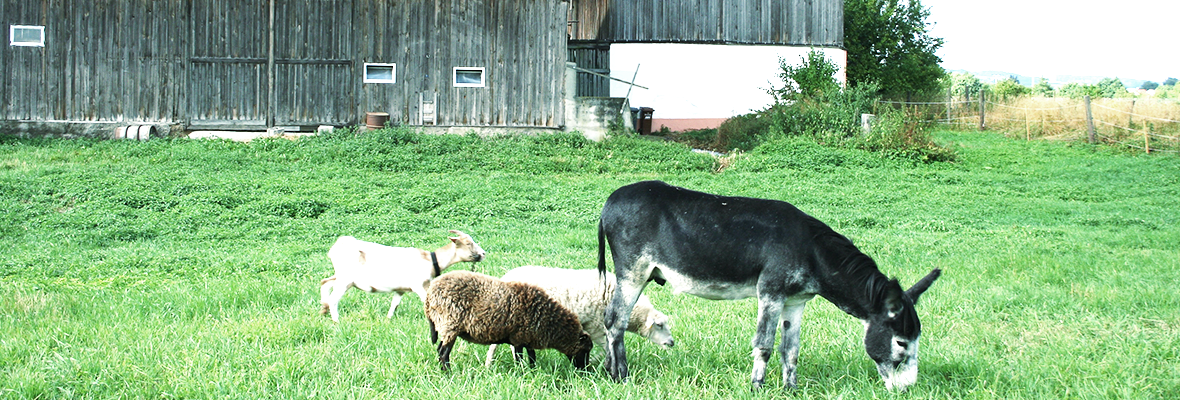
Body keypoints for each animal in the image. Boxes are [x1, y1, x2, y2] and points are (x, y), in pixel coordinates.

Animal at [318, 232, 483, 323]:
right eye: (468, 243)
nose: (483, 253)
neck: (429, 260)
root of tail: (336, 247)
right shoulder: (418, 285)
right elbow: (427, 302)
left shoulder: (400, 290)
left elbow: (394, 305)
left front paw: (388, 320)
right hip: (345, 280)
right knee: (334, 297)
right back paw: (336, 320)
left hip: (342, 277)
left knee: (325, 282)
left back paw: (323, 310)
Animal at [486, 266, 674, 365]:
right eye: (659, 325)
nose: (672, 342)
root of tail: (504, 277)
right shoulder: (597, 326)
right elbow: (606, 348)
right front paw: (599, 363)